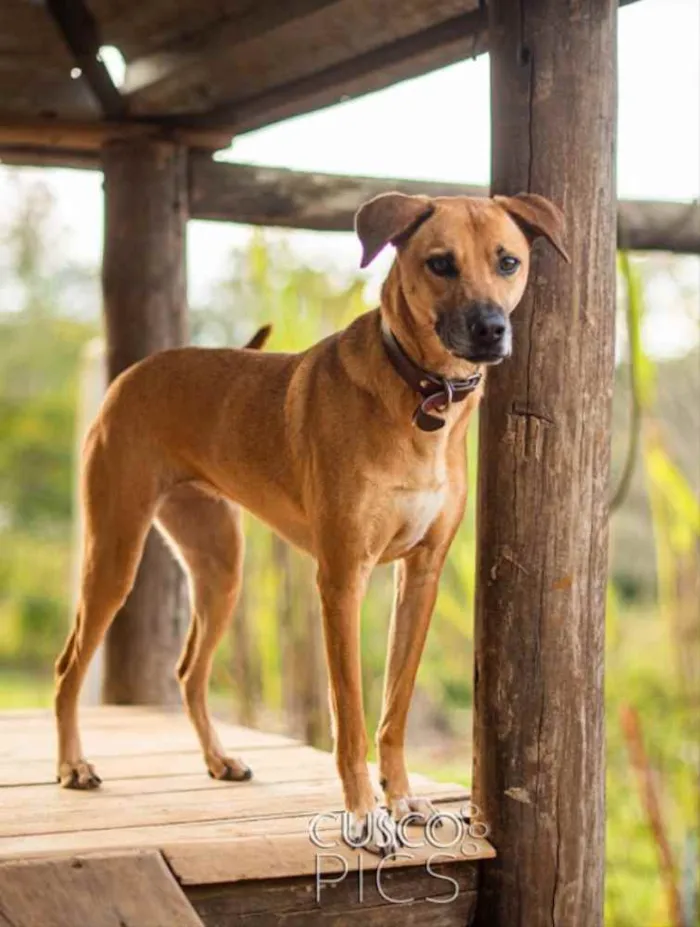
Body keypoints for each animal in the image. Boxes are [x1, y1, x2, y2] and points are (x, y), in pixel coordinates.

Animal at [56, 188, 568, 856]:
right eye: (440, 263)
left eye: (508, 262)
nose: (490, 329)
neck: (420, 394)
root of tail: (136, 371)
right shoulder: (343, 578)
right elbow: (348, 715)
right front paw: (365, 815)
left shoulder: (421, 576)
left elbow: (394, 707)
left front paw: (402, 798)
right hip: (115, 552)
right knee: (70, 663)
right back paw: (73, 765)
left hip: (220, 570)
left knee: (189, 671)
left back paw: (218, 759)